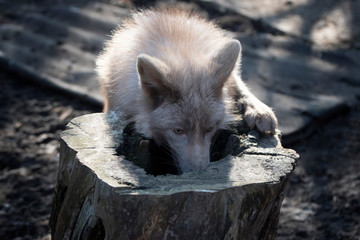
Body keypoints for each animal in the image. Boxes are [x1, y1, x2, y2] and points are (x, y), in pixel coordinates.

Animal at [95, 8, 276, 172]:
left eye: (209, 128)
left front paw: (257, 109)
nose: (198, 173)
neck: (177, 45)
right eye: (178, 131)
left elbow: (239, 85)